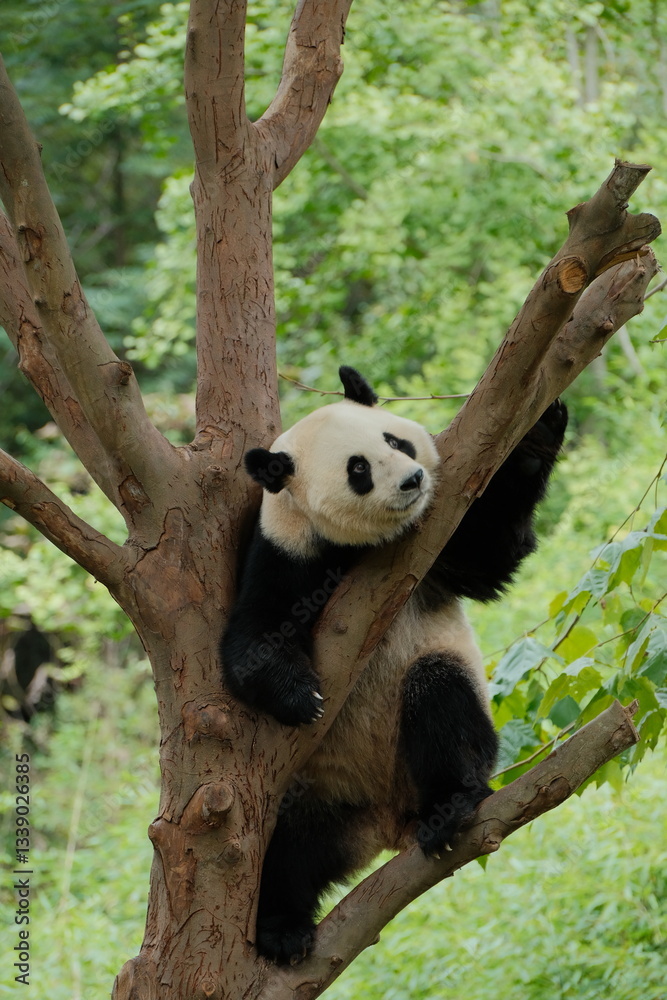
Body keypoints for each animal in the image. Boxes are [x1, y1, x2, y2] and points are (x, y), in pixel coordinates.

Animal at [221, 365, 567, 964]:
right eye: (358, 470)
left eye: (395, 441)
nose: (412, 480)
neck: (358, 549)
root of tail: (386, 825)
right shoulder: (283, 550)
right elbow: (251, 640)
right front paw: (301, 697)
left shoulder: (441, 541)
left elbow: (492, 557)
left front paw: (539, 434)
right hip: (317, 790)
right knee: (284, 850)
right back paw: (283, 930)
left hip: (422, 732)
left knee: (439, 695)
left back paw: (450, 807)